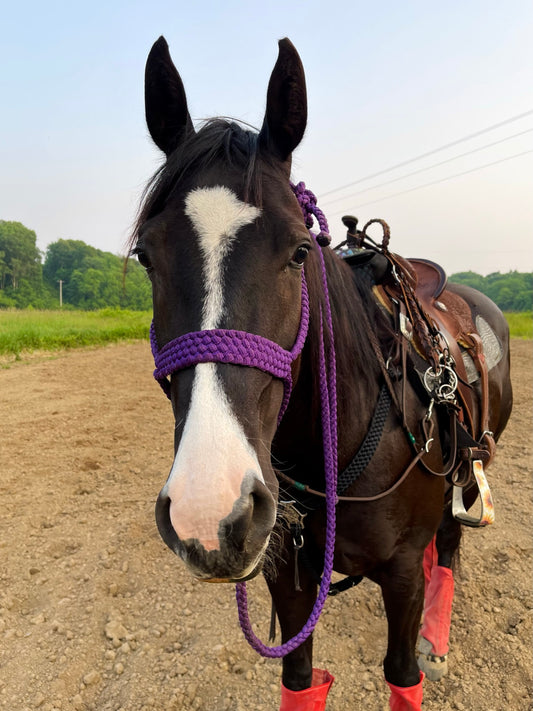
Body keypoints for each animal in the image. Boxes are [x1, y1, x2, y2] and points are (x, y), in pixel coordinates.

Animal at [132, 34, 512, 711]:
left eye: (298, 252)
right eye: (146, 255)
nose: (209, 509)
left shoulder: (400, 574)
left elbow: (402, 676)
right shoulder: (288, 573)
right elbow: (301, 680)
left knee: (447, 549)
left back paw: (436, 640)